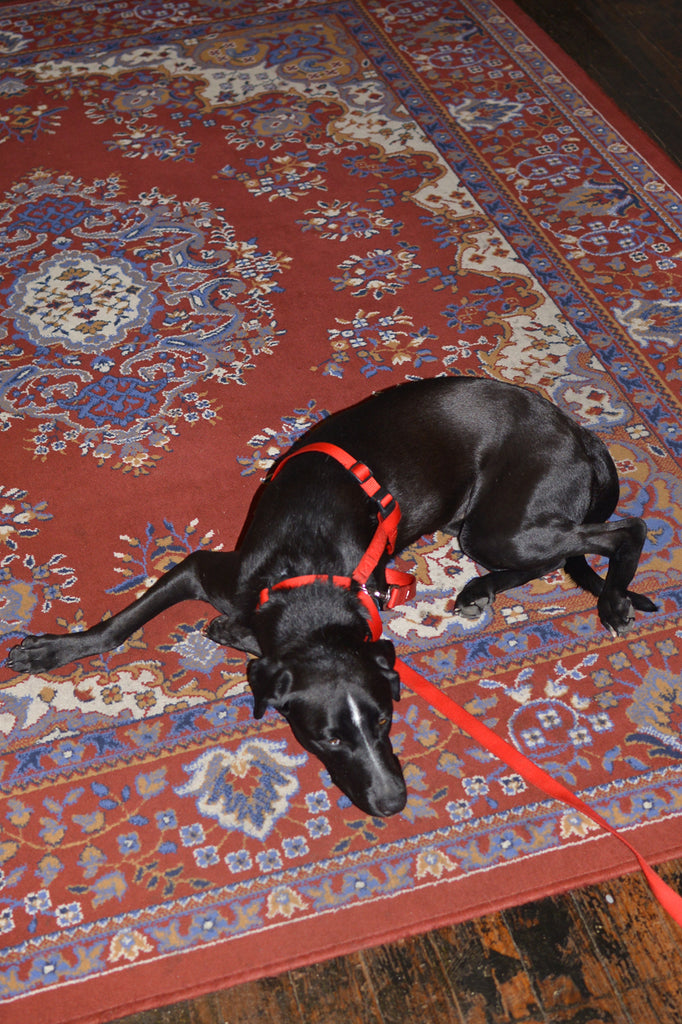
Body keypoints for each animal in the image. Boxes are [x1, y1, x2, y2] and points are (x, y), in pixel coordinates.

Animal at [5, 376, 655, 815]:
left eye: (386, 720)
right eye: (328, 738)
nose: (394, 803)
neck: (311, 580)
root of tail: (580, 432)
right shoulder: (203, 570)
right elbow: (118, 625)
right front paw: (53, 651)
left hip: (500, 526)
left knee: (625, 530)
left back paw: (613, 599)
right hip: (485, 529)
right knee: (559, 555)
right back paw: (483, 588)